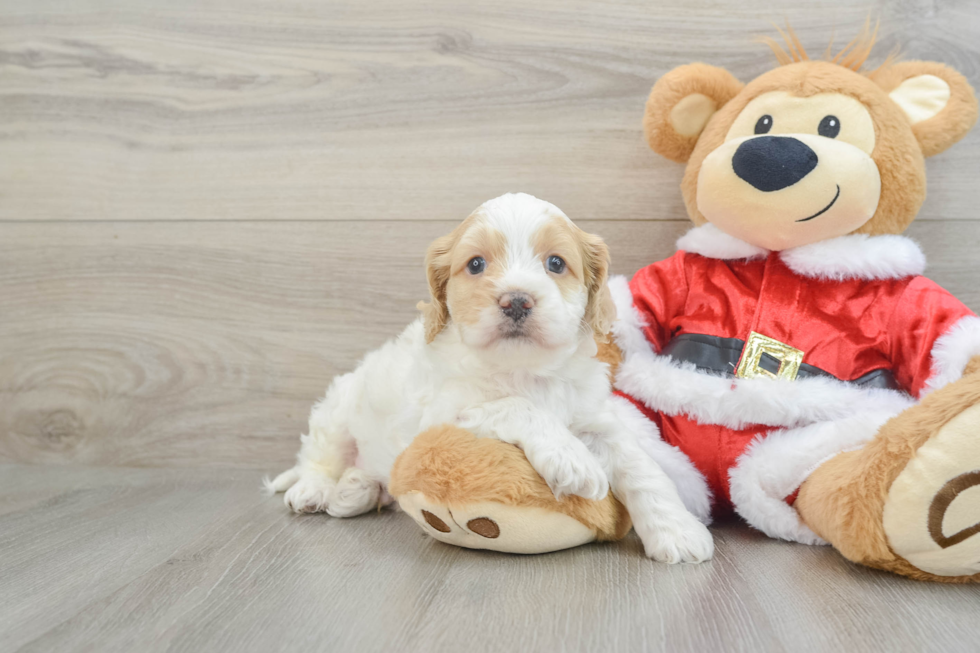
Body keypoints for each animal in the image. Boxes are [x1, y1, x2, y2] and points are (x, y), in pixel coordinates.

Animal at [268, 192, 712, 560]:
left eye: (555, 263)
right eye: (476, 264)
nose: (516, 300)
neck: (524, 369)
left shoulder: (595, 418)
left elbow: (641, 469)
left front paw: (677, 532)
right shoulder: (441, 418)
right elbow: (514, 406)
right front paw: (572, 460)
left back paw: (356, 490)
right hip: (338, 407)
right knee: (318, 455)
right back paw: (315, 490)